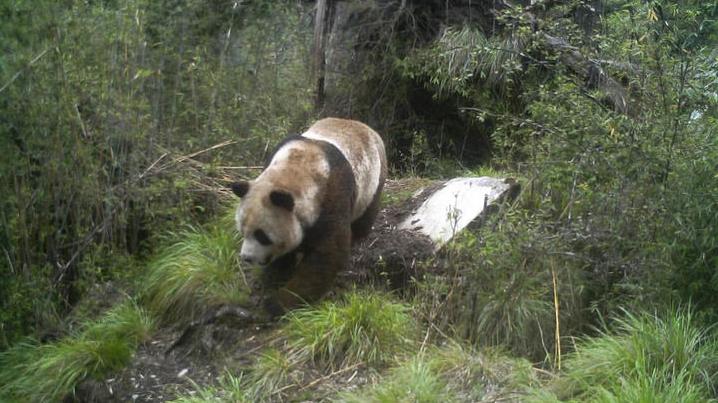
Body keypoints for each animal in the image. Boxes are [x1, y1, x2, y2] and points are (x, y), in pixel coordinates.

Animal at [231, 117, 388, 316]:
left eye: (262, 236)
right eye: (242, 231)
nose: (247, 257)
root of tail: (362, 124)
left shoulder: (332, 198)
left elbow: (326, 257)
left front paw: (277, 302)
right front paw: (273, 278)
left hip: (374, 177)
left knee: (365, 216)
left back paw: (359, 236)